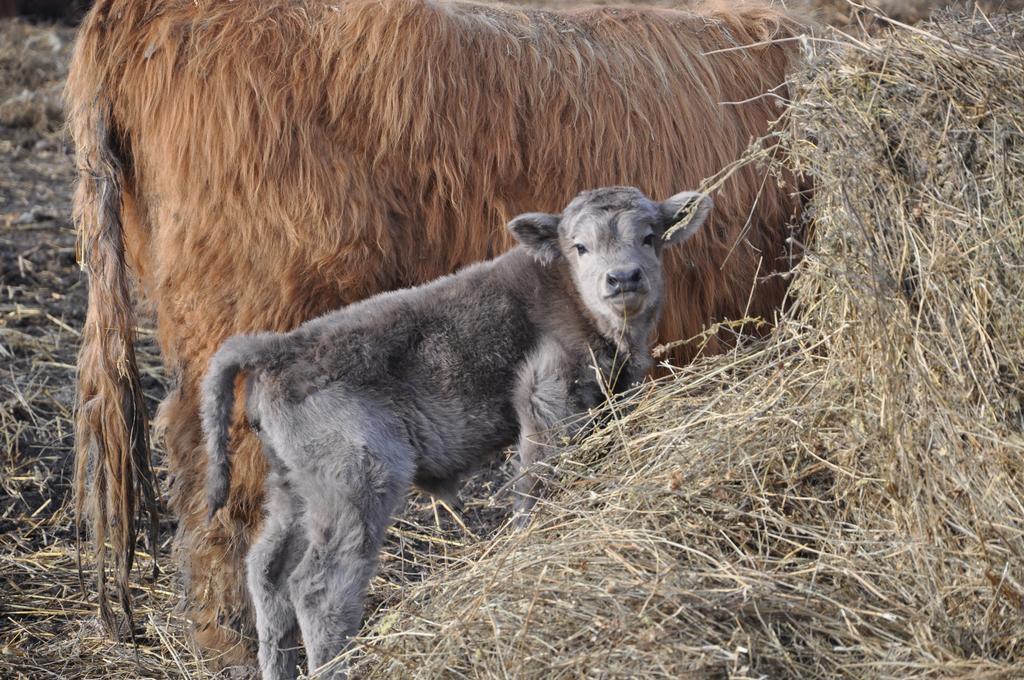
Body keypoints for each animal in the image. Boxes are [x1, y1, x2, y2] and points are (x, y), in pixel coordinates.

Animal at [199, 183, 712, 675]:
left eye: (650, 237)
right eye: (580, 246)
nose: (623, 279)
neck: (565, 289)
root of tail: (279, 348)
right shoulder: (547, 402)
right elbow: (537, 486)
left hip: (296, 492)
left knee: (268, 575)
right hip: (357, 483)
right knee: (317, 589)